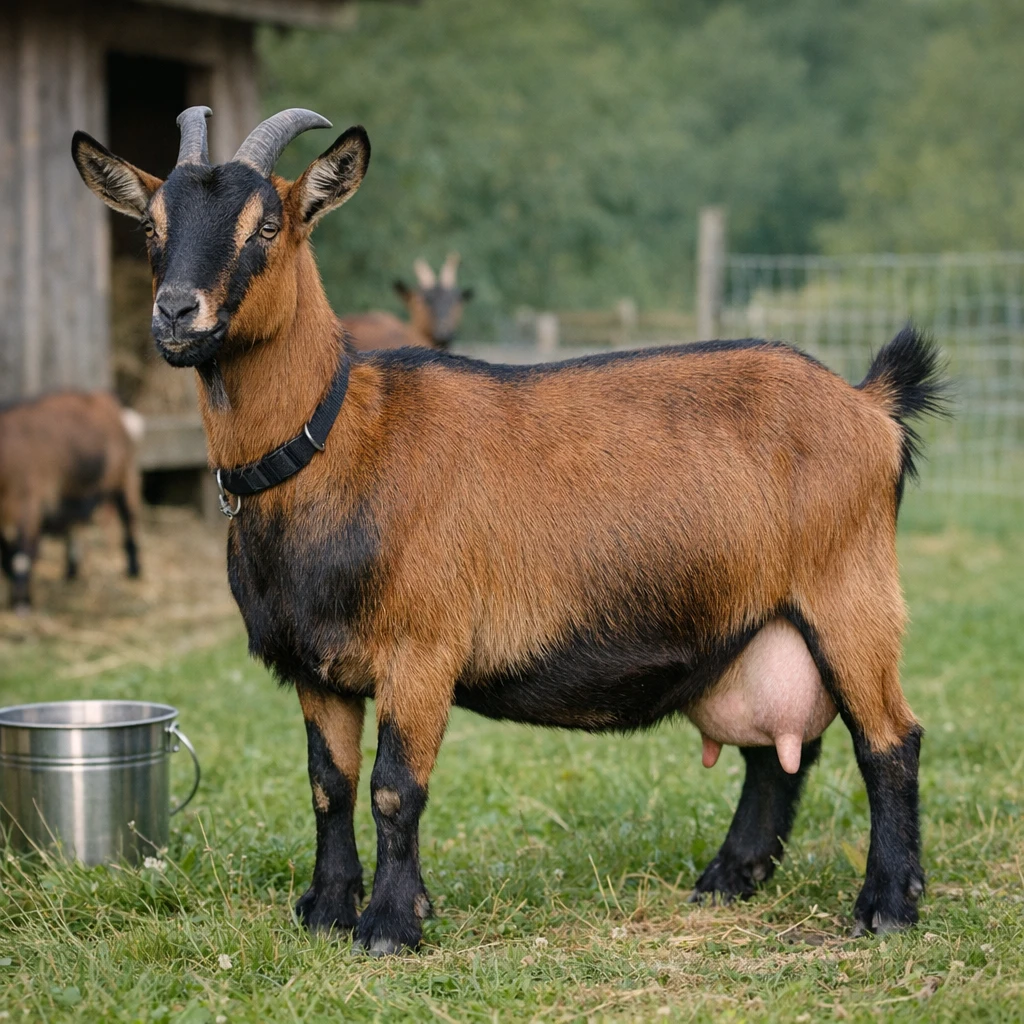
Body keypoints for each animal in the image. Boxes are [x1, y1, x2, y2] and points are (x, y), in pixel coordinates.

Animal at [0, 392, 142, 610]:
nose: (17, 601)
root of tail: (108, 401)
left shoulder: (29, 503)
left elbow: (22, 556)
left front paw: (23, 602)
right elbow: (7, 557)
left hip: (125, 477)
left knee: (129, 517)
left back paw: (134, 569)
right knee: (75, 526)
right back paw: (71, 572)